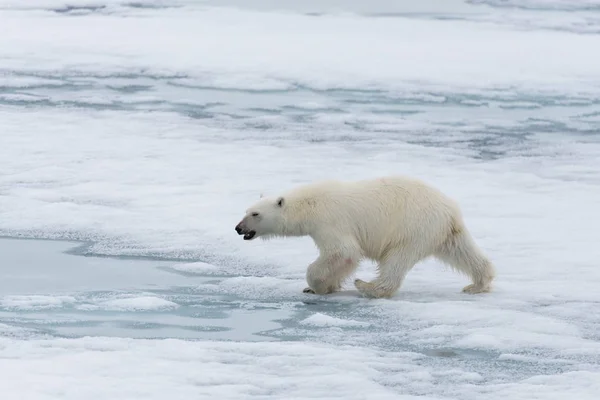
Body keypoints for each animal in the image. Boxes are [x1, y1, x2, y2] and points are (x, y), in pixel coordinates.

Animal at [236, 175, 496, 296]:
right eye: (246, 210)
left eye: (255, 214)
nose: (238, 228)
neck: (309, 205)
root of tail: (450, 210)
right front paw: (326, 286)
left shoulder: (330, 222)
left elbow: (343, 252)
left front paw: (315, 286)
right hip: (441, 231)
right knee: (463, 251)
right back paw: (477, 284)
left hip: (411, 228)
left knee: (396, 260)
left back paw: (368, 286)